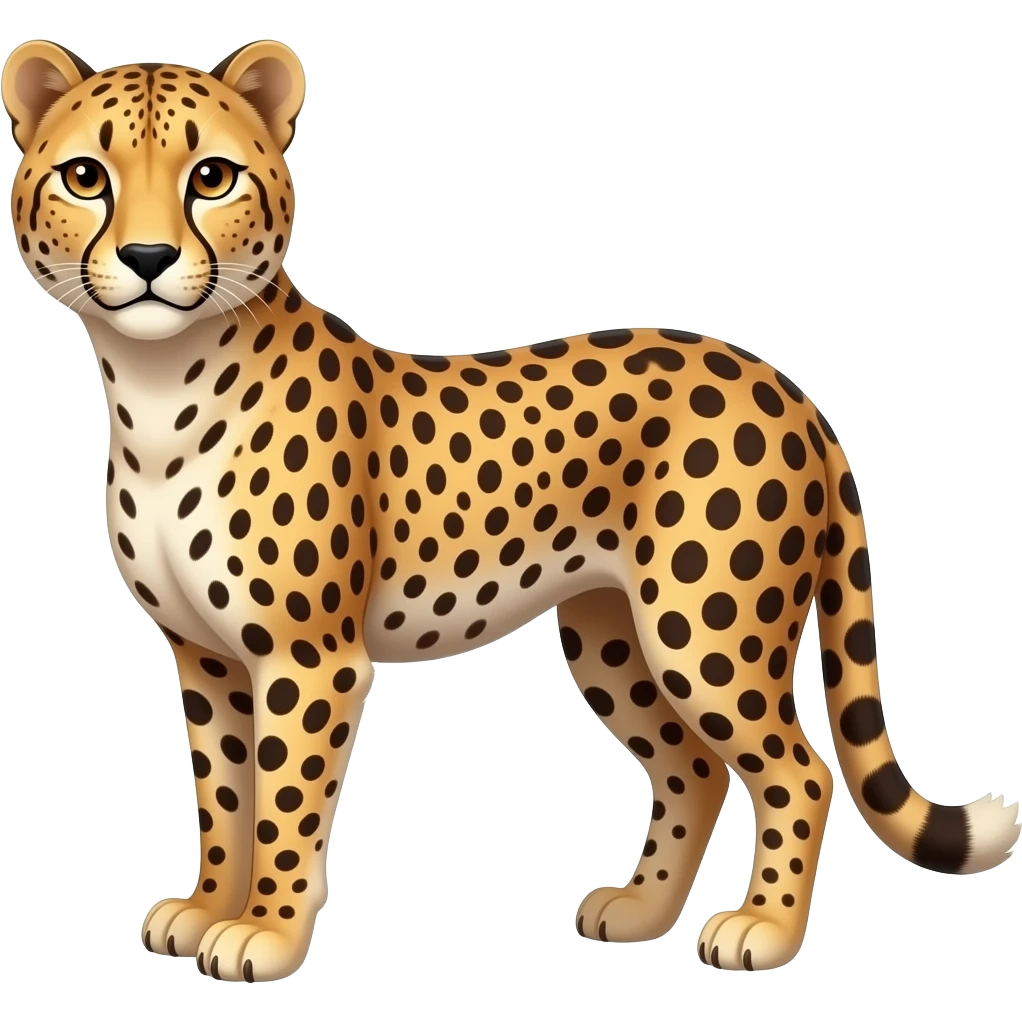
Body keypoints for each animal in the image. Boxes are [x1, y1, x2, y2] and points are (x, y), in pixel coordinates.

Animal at [4, 37, 1019, 982]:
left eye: (211, 177)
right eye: (86, 177)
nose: (147, 258)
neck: (158, 384)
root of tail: (781, 383)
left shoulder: (308, 657)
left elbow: (283, 805)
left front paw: (265, 932)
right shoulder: (206, 656)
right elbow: (222, 796)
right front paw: (208, 906)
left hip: (706, 632)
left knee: (799, 772)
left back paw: (761, 929)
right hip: (614, 636)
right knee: (694, 770)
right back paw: (641, 912)